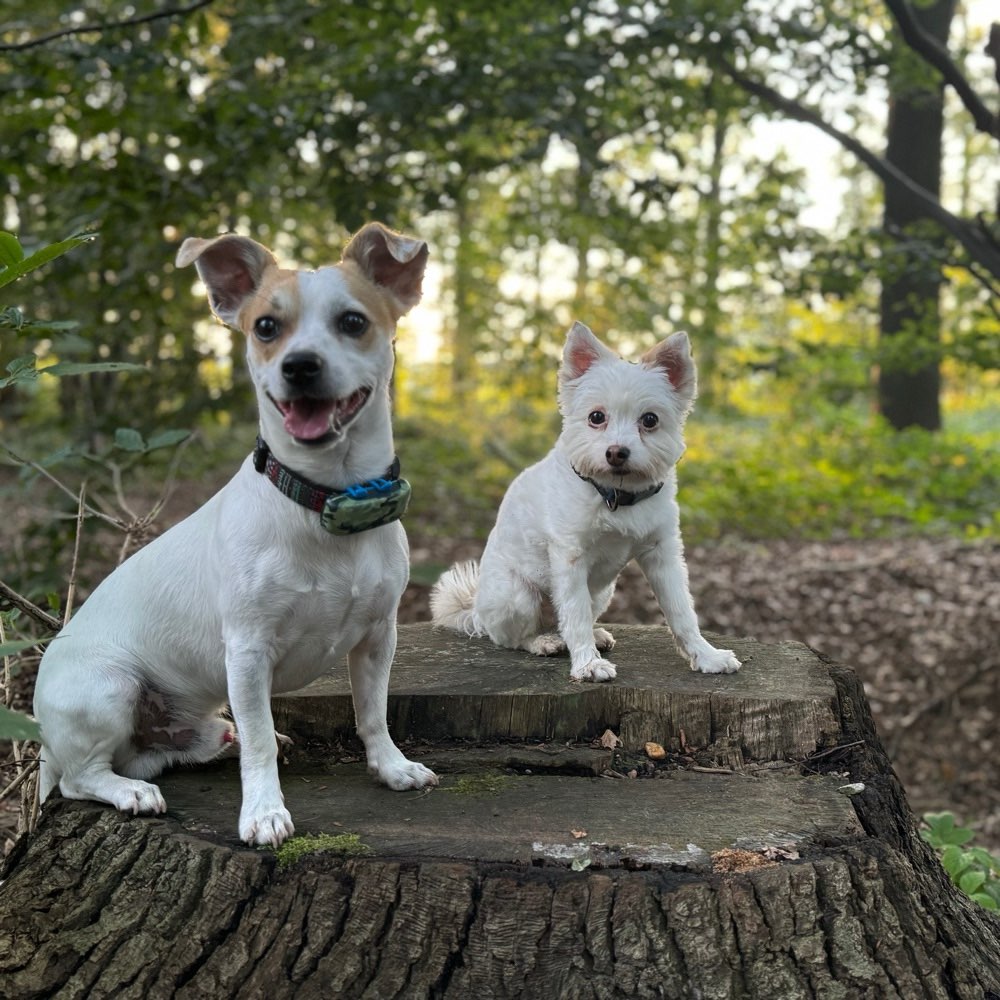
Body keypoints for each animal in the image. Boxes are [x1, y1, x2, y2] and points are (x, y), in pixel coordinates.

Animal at [33, 221, 438, 844]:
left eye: (353, 321)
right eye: (266, 327)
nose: (299, 365)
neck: (325, 498)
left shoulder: (378, 637)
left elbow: (372, 713)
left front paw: (391, 767)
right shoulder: (247, 654)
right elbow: (259, 746)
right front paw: (264, 812)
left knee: (177, 749)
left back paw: (216, 741)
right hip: (108, 688)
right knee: (84, 778)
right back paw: (130, 793)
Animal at [432, 324, 744, 684]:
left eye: (650, 420)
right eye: (597, 417)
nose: (616, 452)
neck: (616, 496)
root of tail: (475, 612)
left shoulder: (662, 554)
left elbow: (681, 611)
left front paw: (706, 655)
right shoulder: (570, 558)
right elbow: (575, 614)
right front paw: (588, 664)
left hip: (603, 591)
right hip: (517, 597)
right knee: (513, 637)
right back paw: (542, 641)